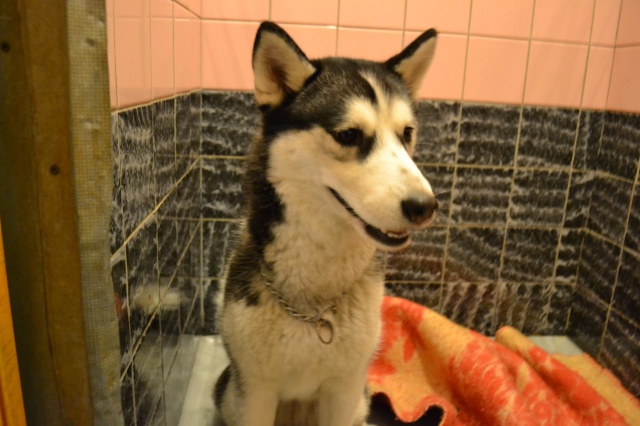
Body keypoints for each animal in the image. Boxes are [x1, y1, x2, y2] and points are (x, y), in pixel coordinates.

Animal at [213, 21, 438, 426]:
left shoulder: (343, 389)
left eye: (406, 134)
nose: (424, 207)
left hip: (360, 401)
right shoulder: (256, 390)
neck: (314, 303)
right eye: (348, 135)